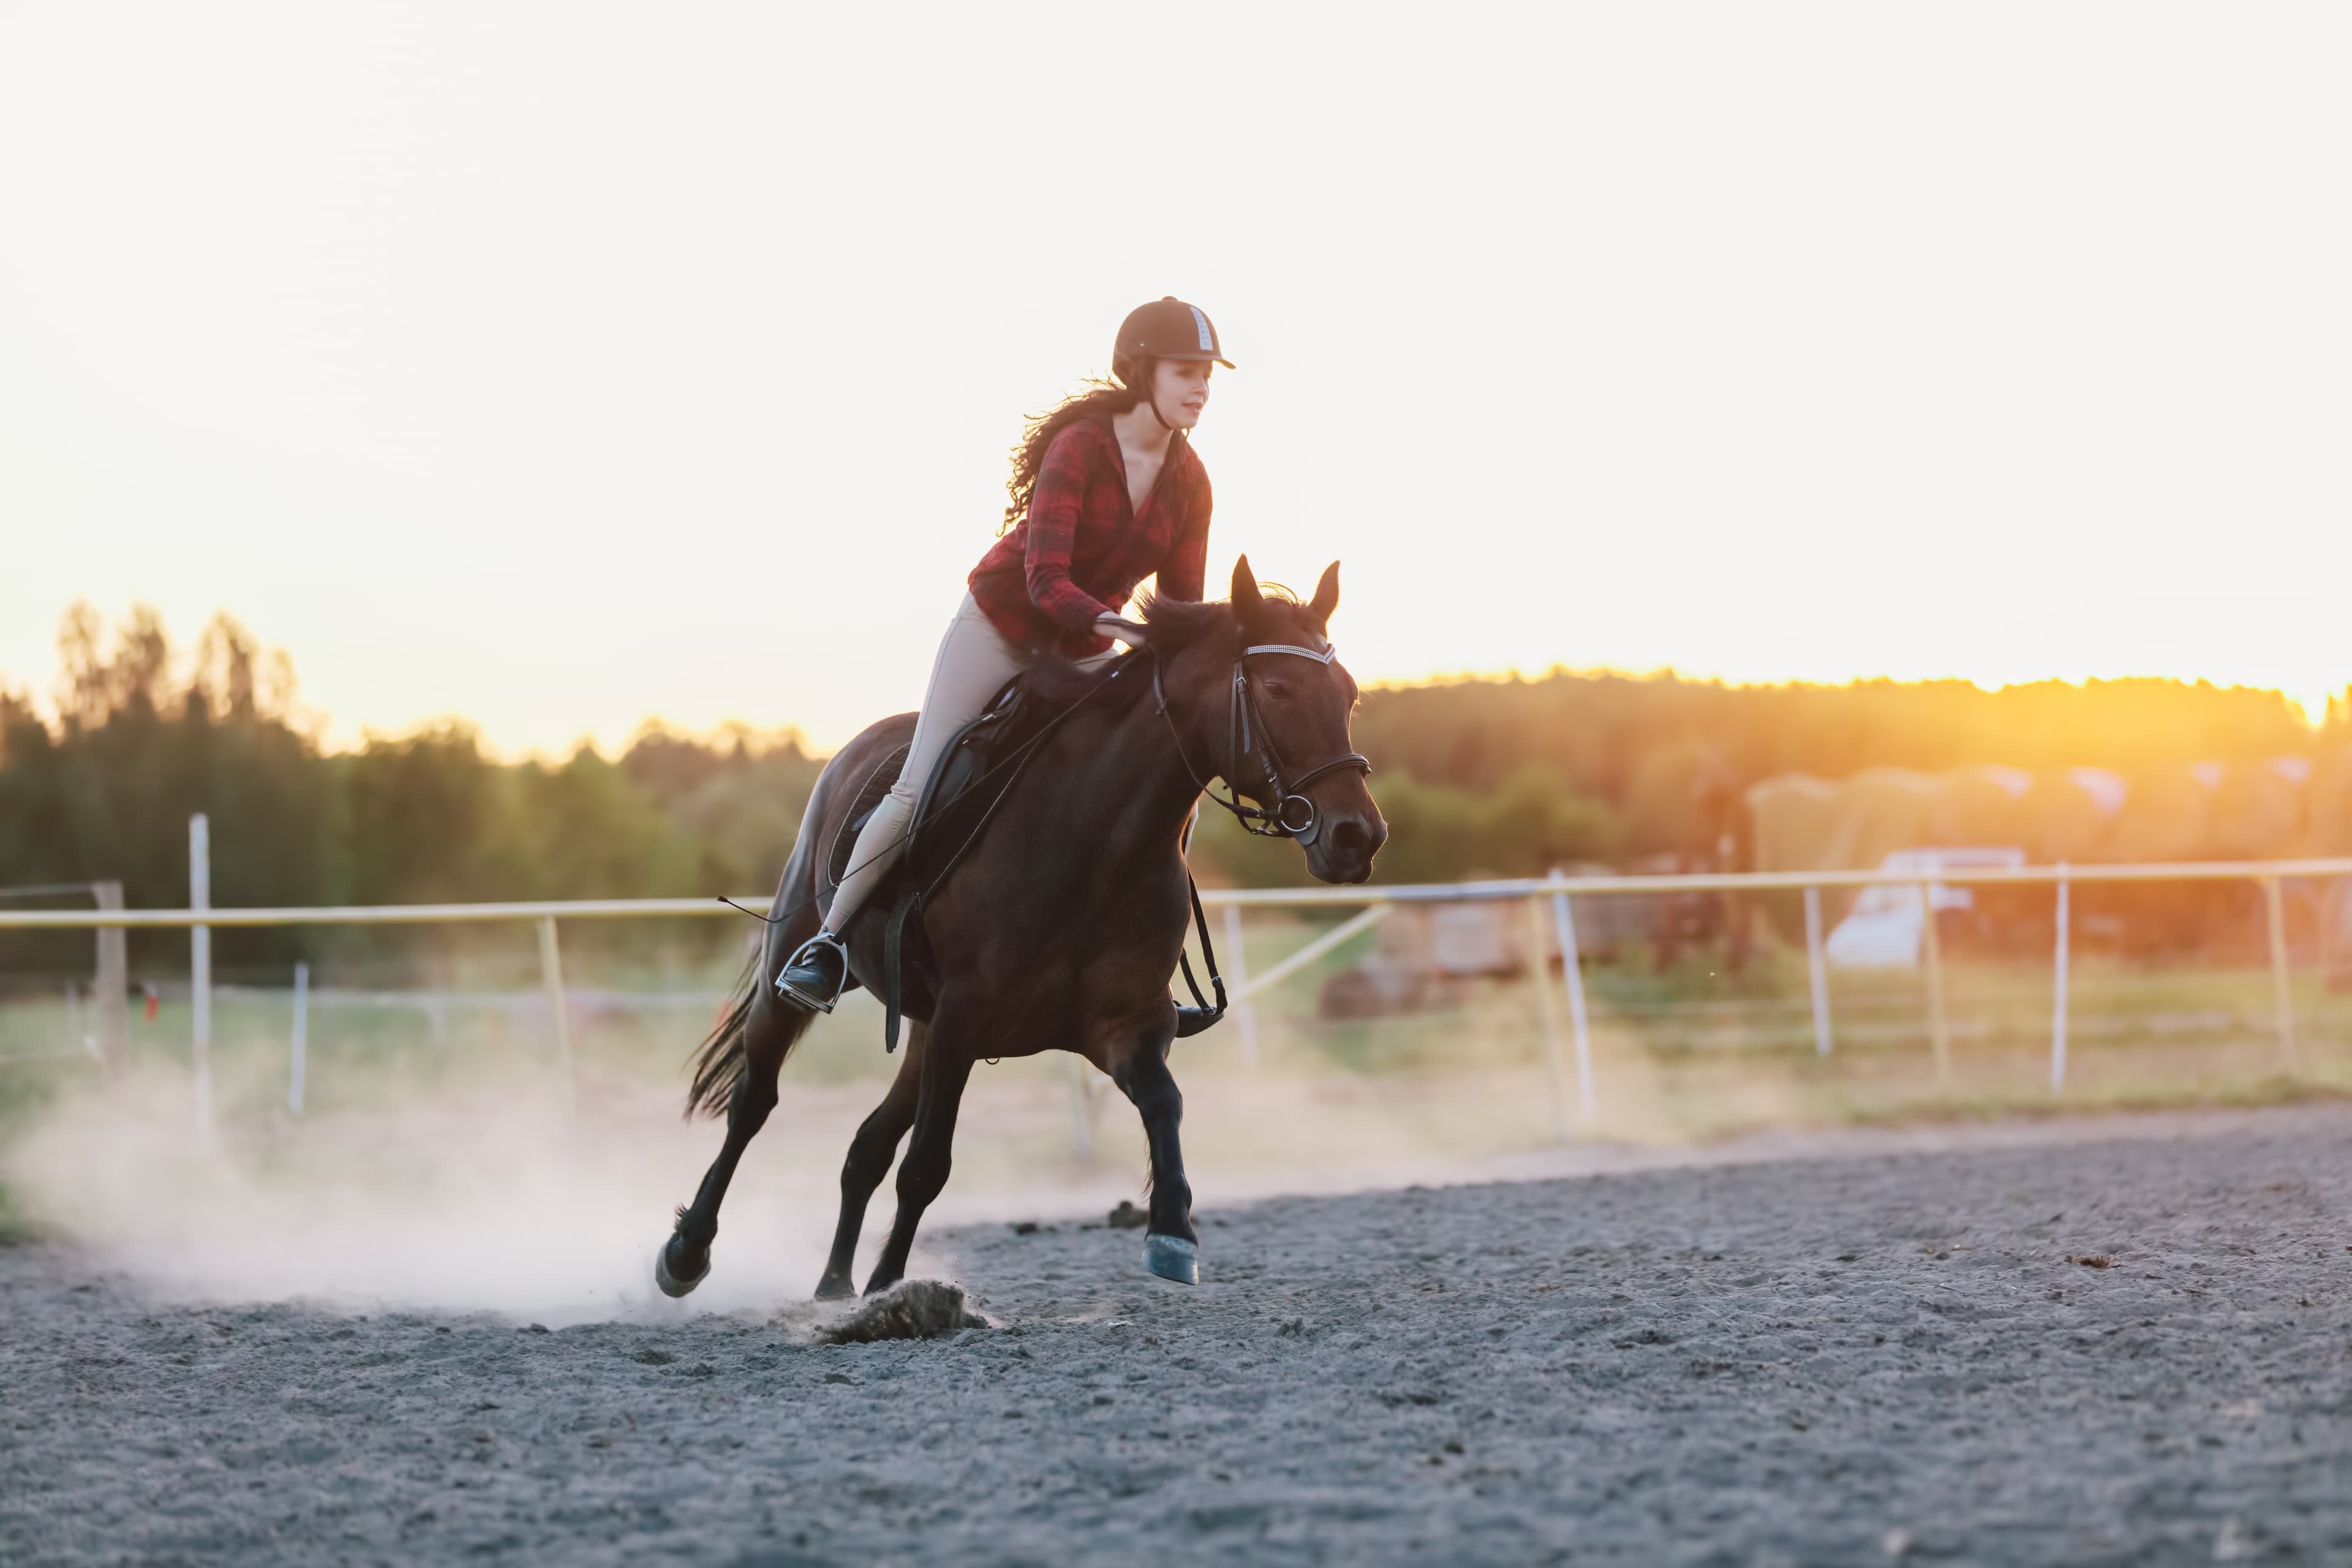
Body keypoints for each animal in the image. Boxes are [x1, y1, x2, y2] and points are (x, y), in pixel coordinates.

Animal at [658, 562, 1373, 1297]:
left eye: (1349, 696)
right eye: (1278, 689)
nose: (1358, 837)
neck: (1095, 842)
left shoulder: (1122, 1029)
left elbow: (1165, 1106)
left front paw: (1173, 1232)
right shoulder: (964, 1018)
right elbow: (927, 1167)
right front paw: (891, 1286)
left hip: (923, 1026)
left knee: (866, 1145)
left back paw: (833, 1287)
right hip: (802, 966)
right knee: (755, 1102)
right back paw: (687, 1253)